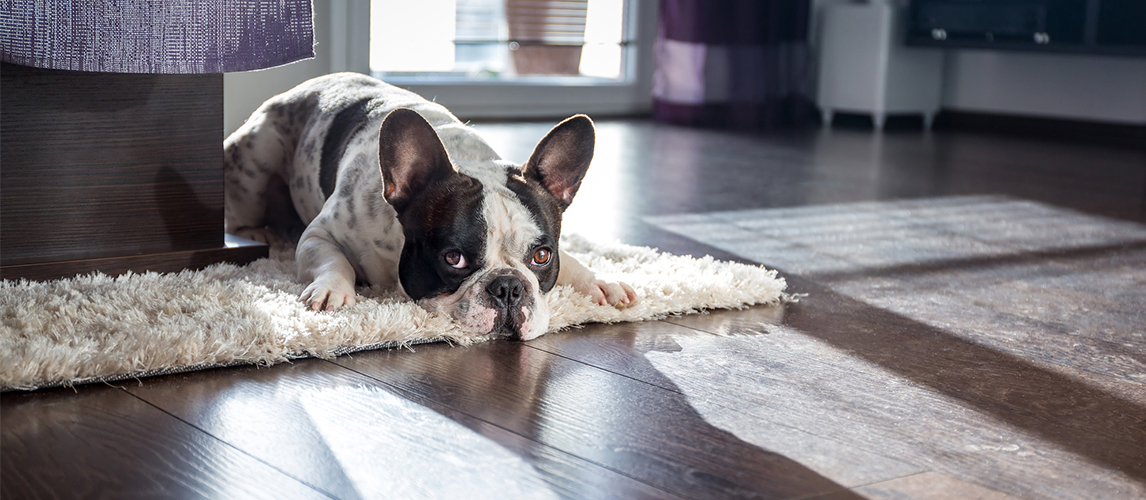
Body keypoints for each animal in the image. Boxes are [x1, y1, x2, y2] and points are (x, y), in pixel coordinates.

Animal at [223, 73, 637, 339]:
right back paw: (263, 234)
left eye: (542, 257)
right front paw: (332, 290)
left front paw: (600, 282)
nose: (508, 287)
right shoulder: (319, 234)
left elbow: (575, 260)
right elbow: (332, 260)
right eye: (453, 259)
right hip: (256, 162)